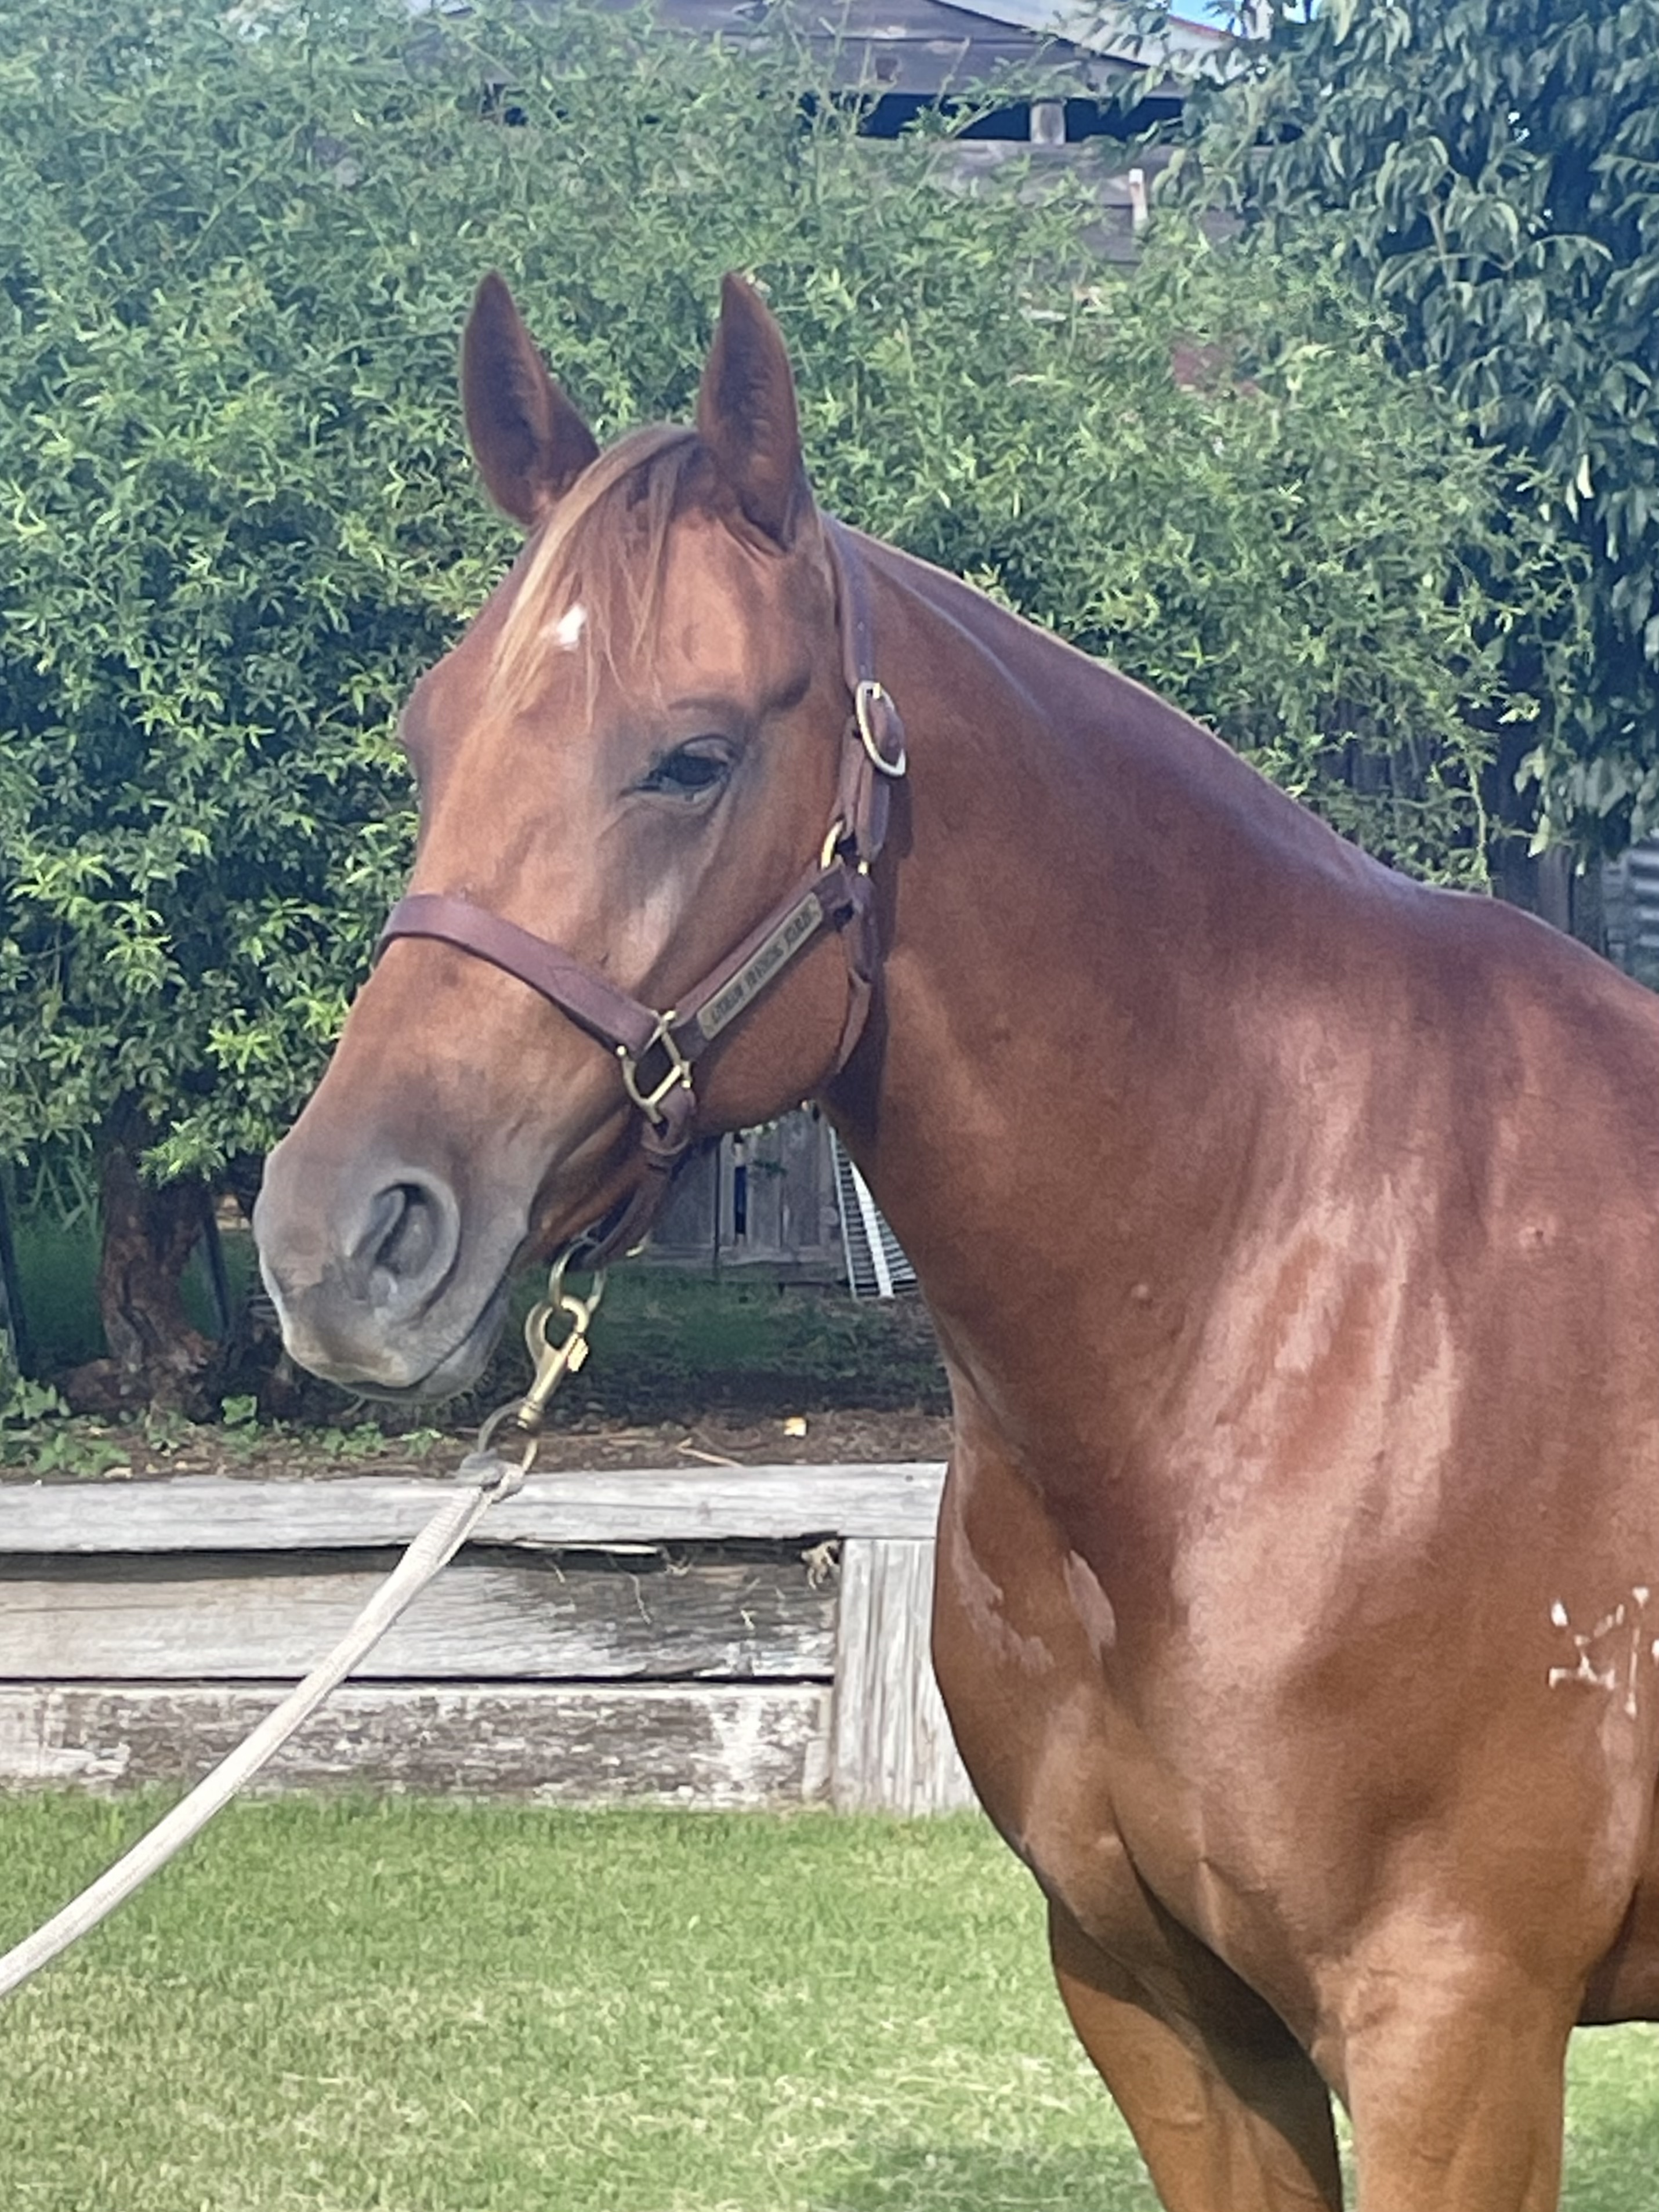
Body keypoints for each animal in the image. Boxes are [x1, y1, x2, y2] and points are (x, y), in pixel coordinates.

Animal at [253, 270, 1659, 2211]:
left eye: (692, 754)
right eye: (426, 735)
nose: (338, 1233)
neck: (1288, 1299)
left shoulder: (1454, 2029)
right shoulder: (1163, 2010)